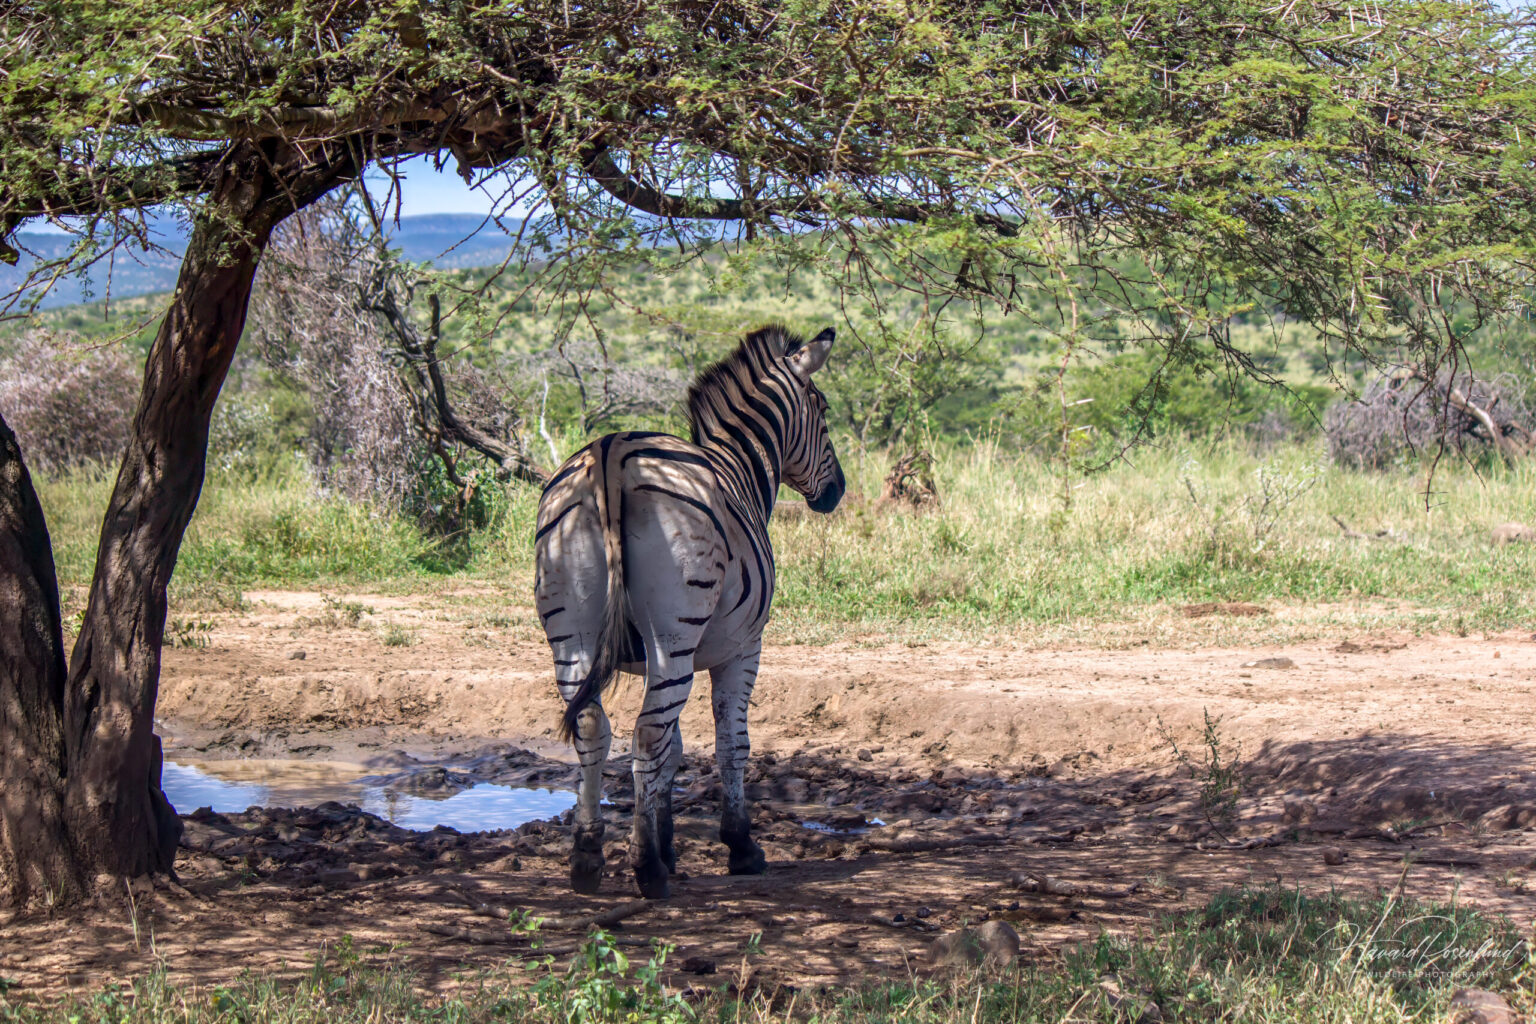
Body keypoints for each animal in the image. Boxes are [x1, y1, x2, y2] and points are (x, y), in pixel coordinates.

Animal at [533, 324, 844, 899]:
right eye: (823, 410)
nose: (836, 494)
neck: (741, 470)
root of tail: (610, 453)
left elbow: (672, 753)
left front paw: (668, 842)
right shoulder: (741, 648)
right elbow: (729, 744)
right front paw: (738, 846)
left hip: (572, 631)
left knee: (593, 725)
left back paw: (587, 859)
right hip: (674, 635)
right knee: (644, 734)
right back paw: (646, 872)